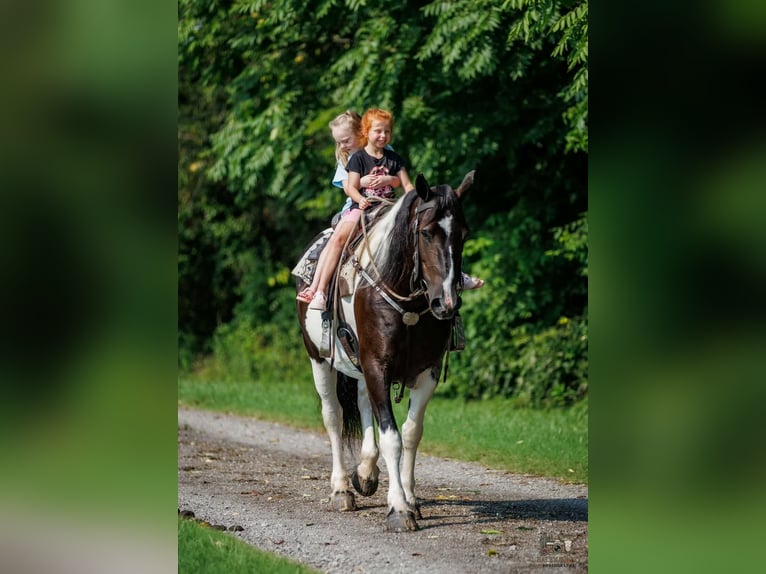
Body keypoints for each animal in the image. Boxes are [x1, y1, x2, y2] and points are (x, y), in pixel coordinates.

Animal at [296, 170, 475, 532]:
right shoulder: (377, 365)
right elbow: (391, 437)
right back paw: (341, 489)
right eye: (426, 232)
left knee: (364, 403)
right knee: (334, 417)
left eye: (463, 234)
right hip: (319, 359)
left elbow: (411, 433)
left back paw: (366, 471)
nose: (447, 303)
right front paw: (399, 508)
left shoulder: (427, 371)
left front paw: (411, 498)